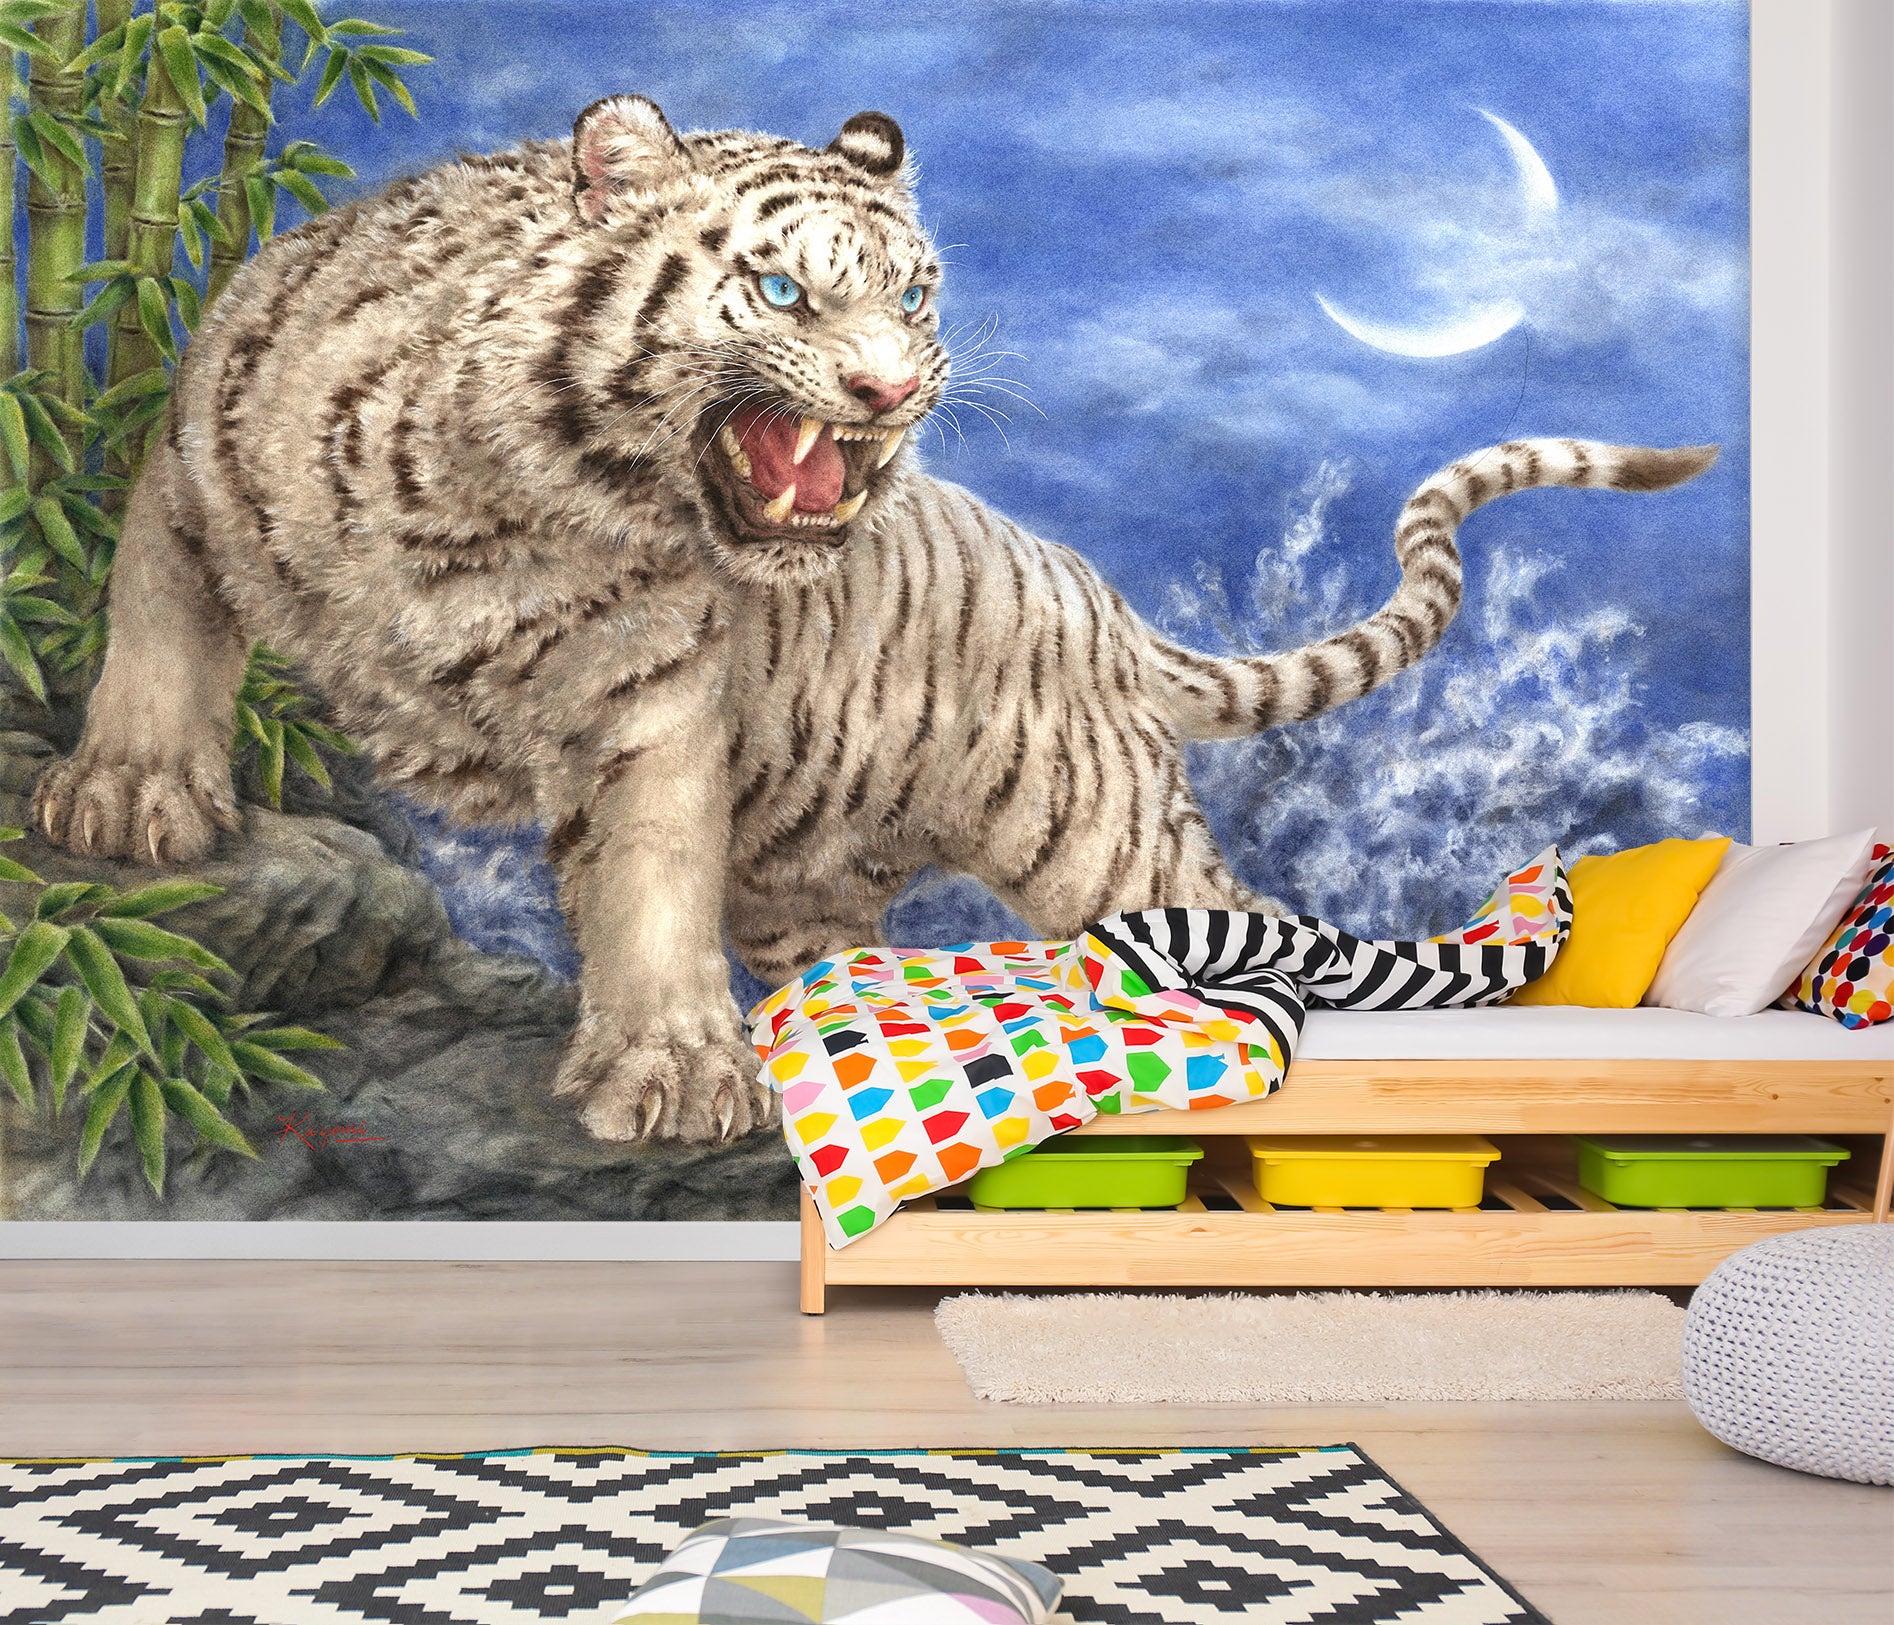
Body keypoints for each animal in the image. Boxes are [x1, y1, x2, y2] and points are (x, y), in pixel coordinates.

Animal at [31, 94, 1717, 1143]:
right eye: (782, 292)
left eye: (914, 299)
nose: (896, 389)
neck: (513, 507)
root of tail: (1103, 604)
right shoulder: (189, 460)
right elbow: (156, 638)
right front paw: (130, 803)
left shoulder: (656, 697)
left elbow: (647, 881)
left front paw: (669, 1072)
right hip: (817, 884)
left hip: (1105, 844)